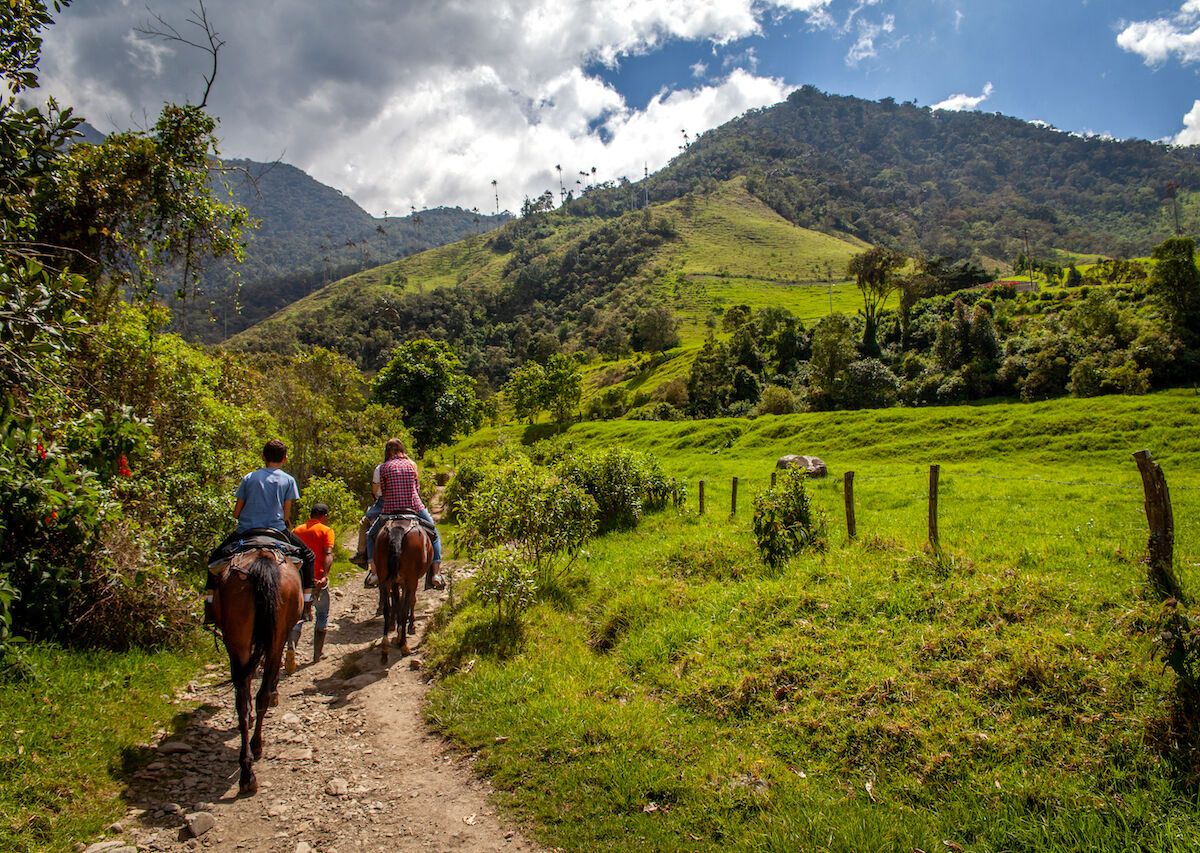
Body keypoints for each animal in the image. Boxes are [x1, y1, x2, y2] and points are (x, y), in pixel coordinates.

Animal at [208, 549, 300, 796]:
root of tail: (262, 561)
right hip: (264, 636)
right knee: (256, 695)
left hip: (239, 639)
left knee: (247, 699)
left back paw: (249, 767)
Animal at [374, 518, 436, 662]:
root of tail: (398, 529)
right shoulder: (411, 581)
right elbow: (410, 602)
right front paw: (410, 626)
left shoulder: (397, 582)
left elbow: (397, 603)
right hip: (411, 579)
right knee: (404, 607)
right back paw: (404, 646)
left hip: (385, 579)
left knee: (387, 608)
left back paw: (385, 647)